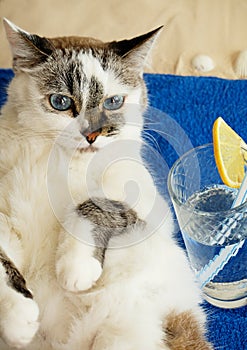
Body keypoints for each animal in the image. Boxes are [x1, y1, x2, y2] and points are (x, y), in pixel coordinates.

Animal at [0, 19, 213, 350]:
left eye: (113, 102)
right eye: (61, 102)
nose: (92, 134)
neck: (58, 159)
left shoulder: (152, 209)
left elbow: (94, 204)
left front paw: (75, 267)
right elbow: (2, 264)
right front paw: (17, 317)